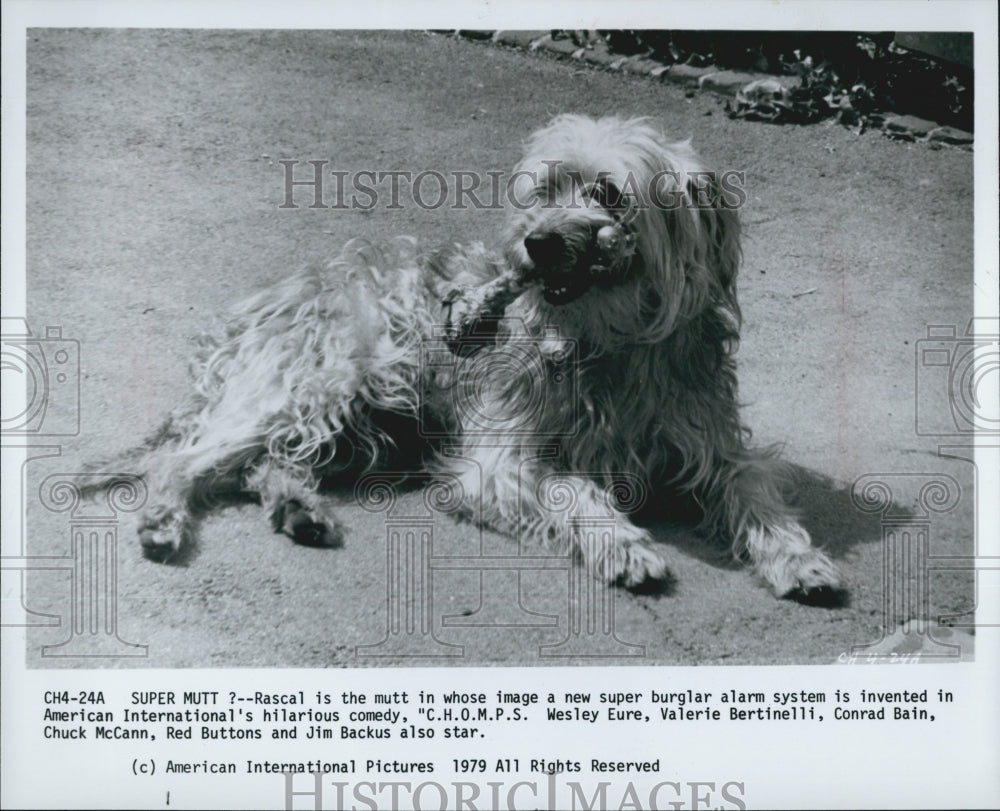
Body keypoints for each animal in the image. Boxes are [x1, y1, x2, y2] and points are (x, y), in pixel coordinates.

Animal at [127, 114, 844, 596]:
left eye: (608, 194)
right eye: (545, 188)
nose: (536, 244)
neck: (611, 348)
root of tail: (265, 299)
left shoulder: (715, 447)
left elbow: (755, 490)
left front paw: (798, 557)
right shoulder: (498, 461)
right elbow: (576, 487)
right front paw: (621, 543)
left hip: (364, 424)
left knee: (268, 462)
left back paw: (297, 509)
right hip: (329, 386)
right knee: (185, 457)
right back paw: (163, 519)